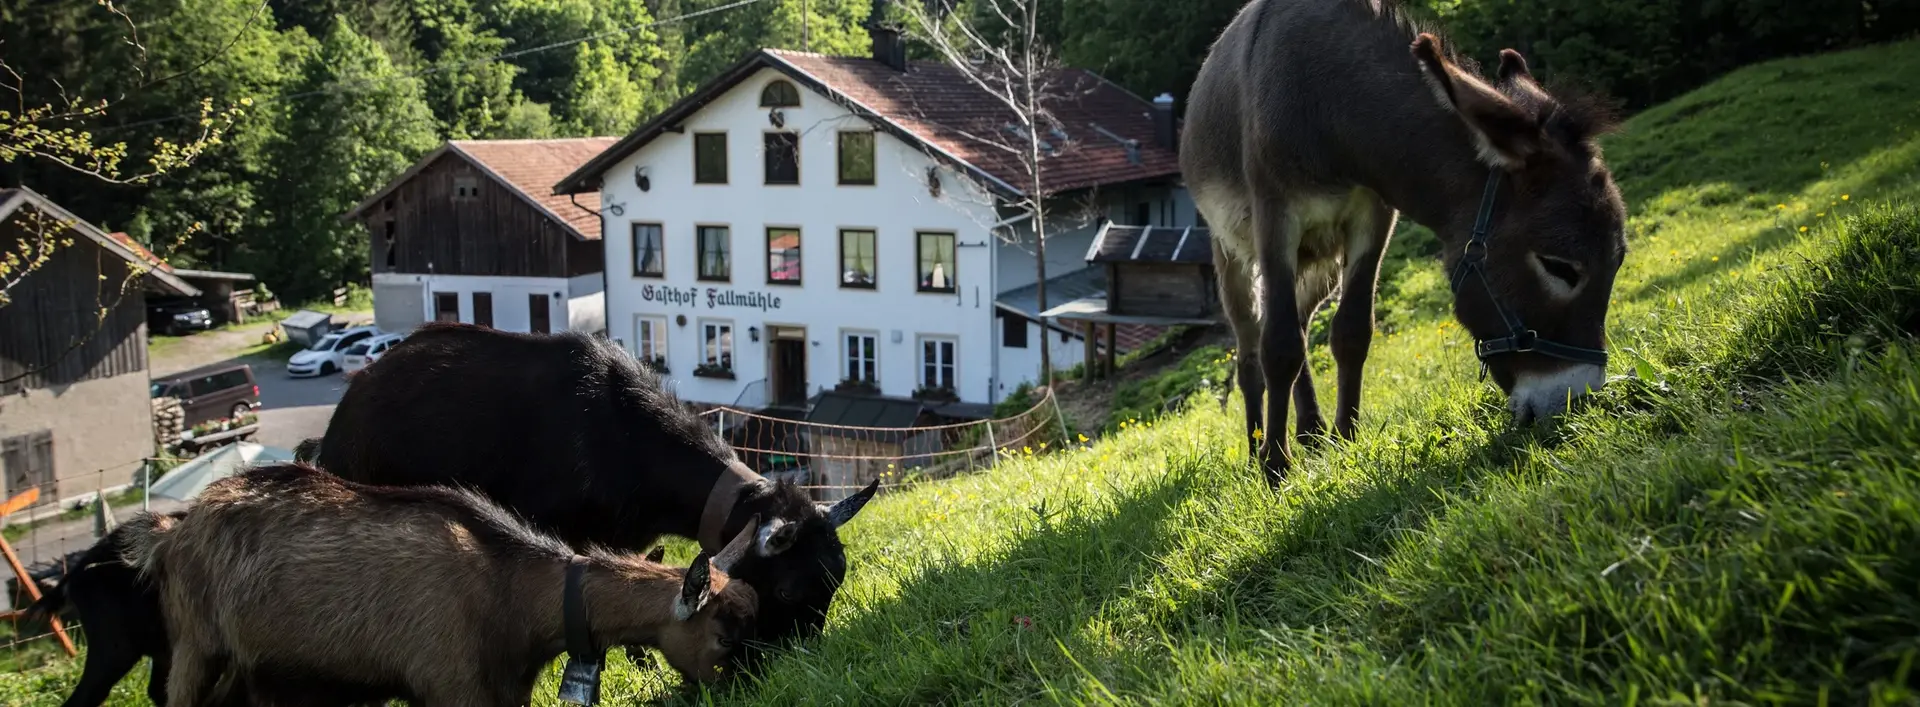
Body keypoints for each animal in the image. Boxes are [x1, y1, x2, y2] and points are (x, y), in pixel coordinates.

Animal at [121, 464, 756, 707]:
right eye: (723, 637)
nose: (749, 690)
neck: (512, 591)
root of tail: (169, 535)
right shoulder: (452, 685)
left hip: (250, 668)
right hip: (195, 648)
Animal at [1182, 0, 1635, 486]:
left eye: (1616, 263)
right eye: (1560, 267)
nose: (1578, 400)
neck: (1331, 102)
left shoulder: (1373, 216)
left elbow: (1352, 331)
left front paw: (1345, 440)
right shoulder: (1276, 217)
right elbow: (1280, 345)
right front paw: (1275, 469)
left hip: (1320, 262)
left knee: (1300, 323)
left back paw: (1311, 433)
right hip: (1233, 254)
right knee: (1252, 347)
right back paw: (1256, 446)